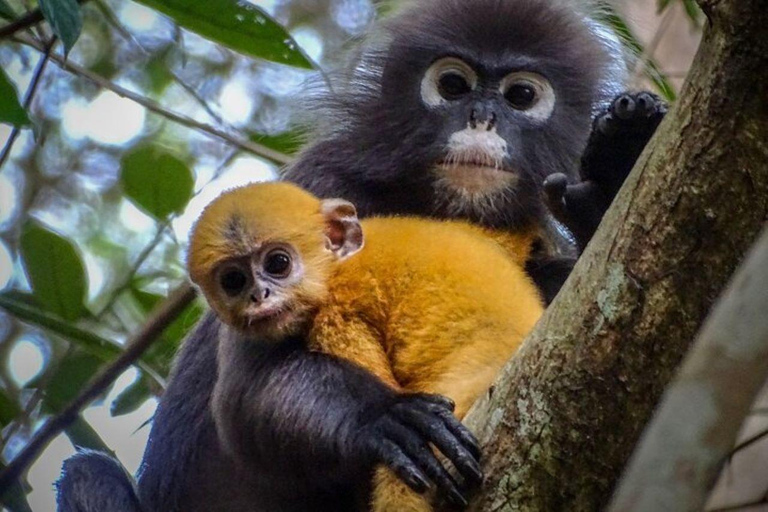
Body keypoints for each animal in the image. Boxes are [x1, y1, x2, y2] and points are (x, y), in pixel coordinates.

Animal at [188, 182, 544, 510]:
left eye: (278, 263)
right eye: (234, 280)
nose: (258, 295)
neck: (335, 267)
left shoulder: (338, 304)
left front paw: (382, 413)